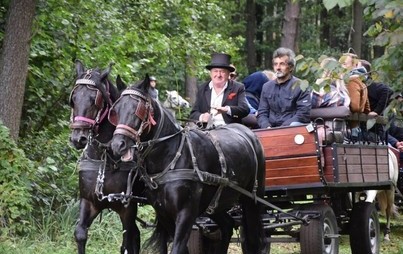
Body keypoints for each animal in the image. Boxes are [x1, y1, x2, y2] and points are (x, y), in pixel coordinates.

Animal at [69, 60, 145, 254]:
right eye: (73, 99)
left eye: (94, 100)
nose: (78, 138)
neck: (105, 157)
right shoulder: (89, 201)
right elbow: (80, 234)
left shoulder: (128, 208)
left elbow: (126, 243)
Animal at [109, 76, 270, 254]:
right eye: (116, 111)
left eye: (138, 109)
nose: (118, 145)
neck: (170, 157)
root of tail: (249, 134)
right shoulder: (164, 214)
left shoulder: (186, 213)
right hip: (215, 203)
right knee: (227, 225)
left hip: (252, 200)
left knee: (255, 238)